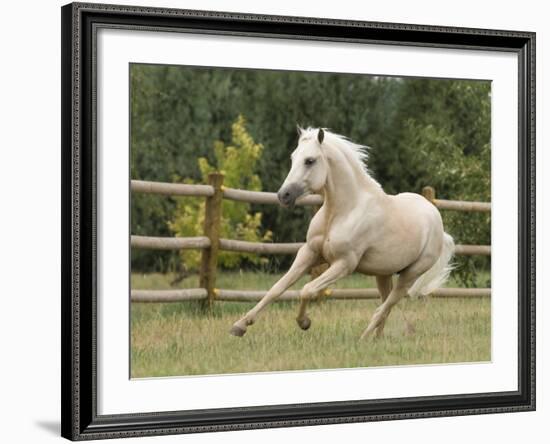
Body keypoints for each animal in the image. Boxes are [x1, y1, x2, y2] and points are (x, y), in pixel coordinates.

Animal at [231, 128, 454, 340]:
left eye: (310, 160)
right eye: (293, 158)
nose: (283, 195)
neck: (342, 211)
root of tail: (436, 220)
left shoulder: (344, 264)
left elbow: (307, 289)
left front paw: (304, 322)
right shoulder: (309, 253)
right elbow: (277, 287)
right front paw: (240, 326)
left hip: (410, 274)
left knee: (385, 306)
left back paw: (364, 339)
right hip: (383, 273)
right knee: (385, 304)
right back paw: (377, 338)